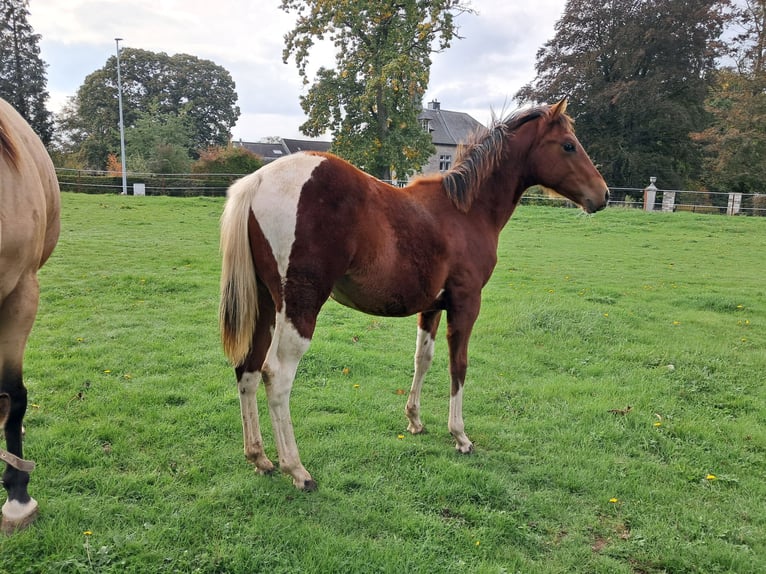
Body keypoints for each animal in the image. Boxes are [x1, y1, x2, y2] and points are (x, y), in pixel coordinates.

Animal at [219, 99, 608, 490]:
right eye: (569, 145)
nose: (603, 194)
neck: (466, 211)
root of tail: (259, 179)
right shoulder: (466, 303)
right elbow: (458, 364)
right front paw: (460, 436)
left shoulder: (432, 307)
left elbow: (423, 359)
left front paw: (415, 420)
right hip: (300, 307)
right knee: (277, 375)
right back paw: (296, 469)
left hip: (265, 305)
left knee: (248, 369)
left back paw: (260, 458)